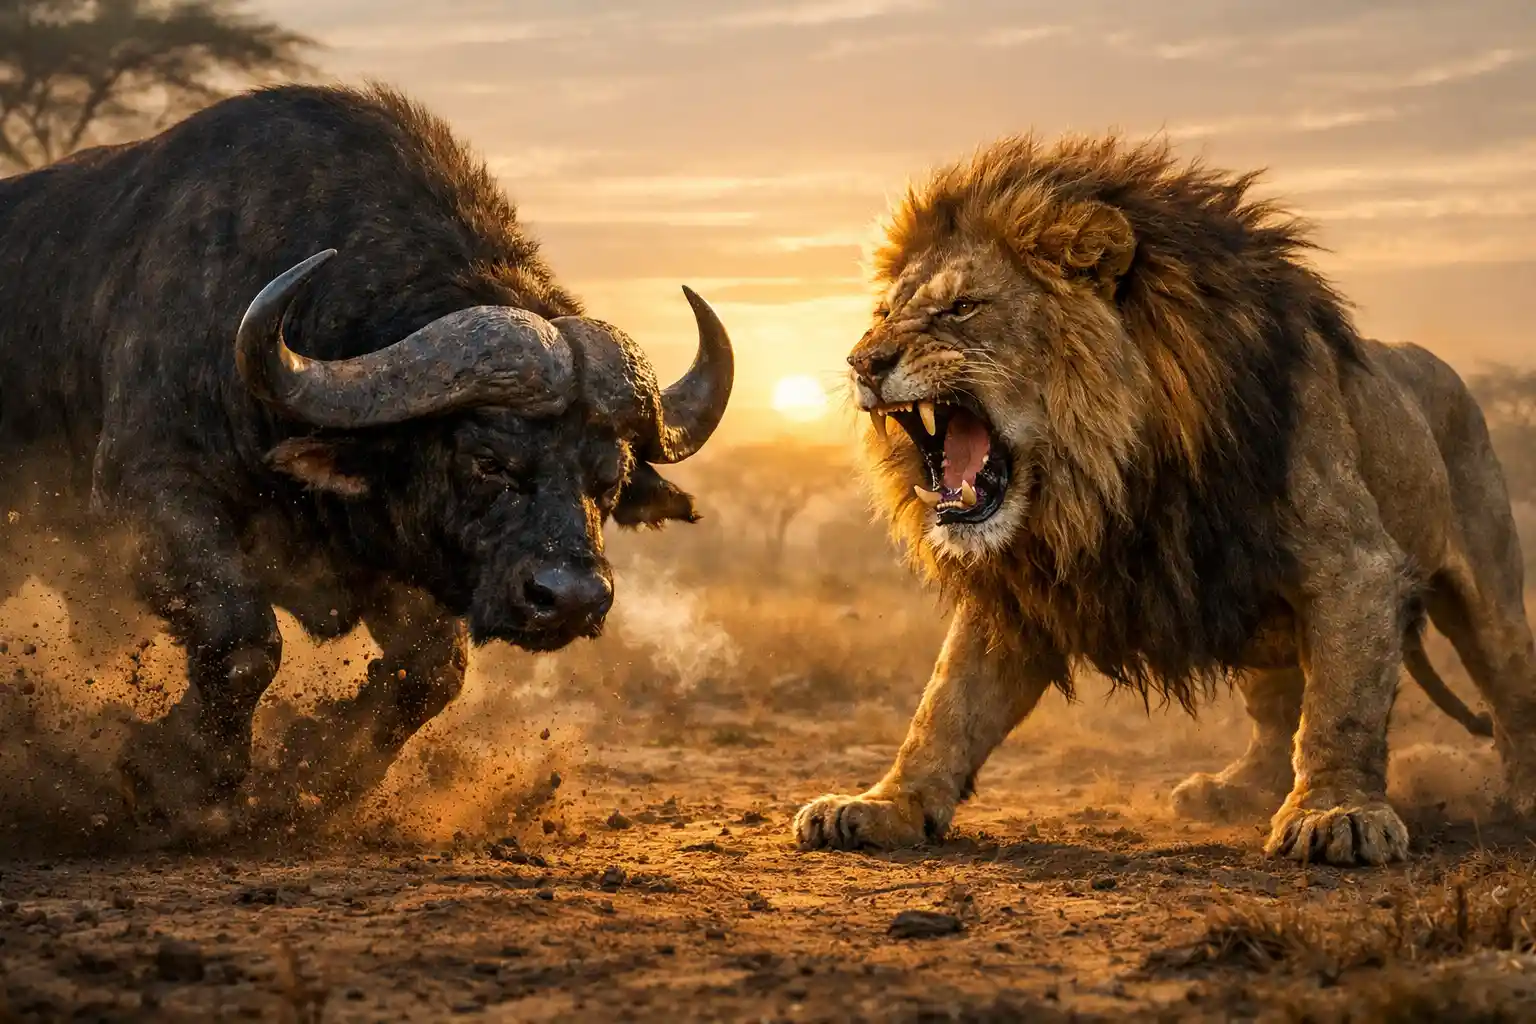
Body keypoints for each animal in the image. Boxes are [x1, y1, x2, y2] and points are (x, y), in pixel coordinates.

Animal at [0, 84, 734, 827]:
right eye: (487, 461)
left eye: (607, 479)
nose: (573, 599)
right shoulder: (148, 496)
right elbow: (243, 641)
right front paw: (175, 773)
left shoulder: (391, 553)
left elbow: (432, 672)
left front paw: (317, 766)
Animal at [792, 133, 1536, 867]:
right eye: (884, 314)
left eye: (962, 307)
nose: (863, 363)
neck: (1114, 476)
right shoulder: (1024, 591)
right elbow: (946, 707)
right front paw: (885, 805)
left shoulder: (1353, 564)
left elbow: (1342, 703)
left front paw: (1336, 812)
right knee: (1276, 709)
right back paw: (1235, 791)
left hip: (1486, 591)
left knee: (1509, 685)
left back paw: (1521, 801)